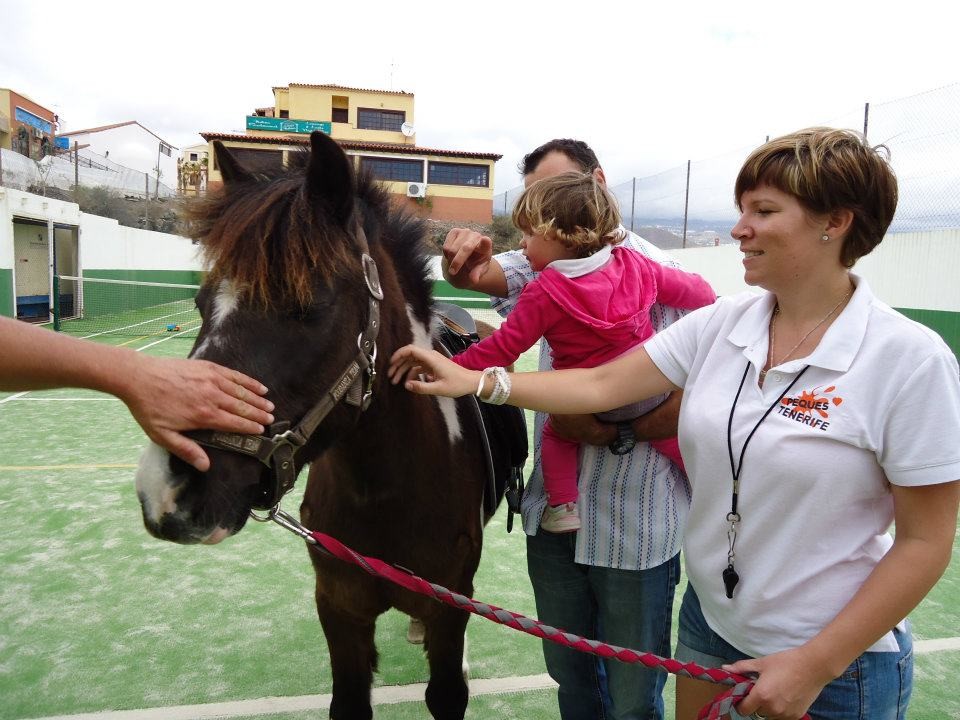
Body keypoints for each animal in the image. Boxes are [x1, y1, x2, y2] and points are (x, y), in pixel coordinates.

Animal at [138, 132, 502, 716]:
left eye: (306, 305)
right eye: (199, 303)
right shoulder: (339, 607)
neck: (387, 490)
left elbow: (447, 684)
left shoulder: (448, 607)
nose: (166, 489)